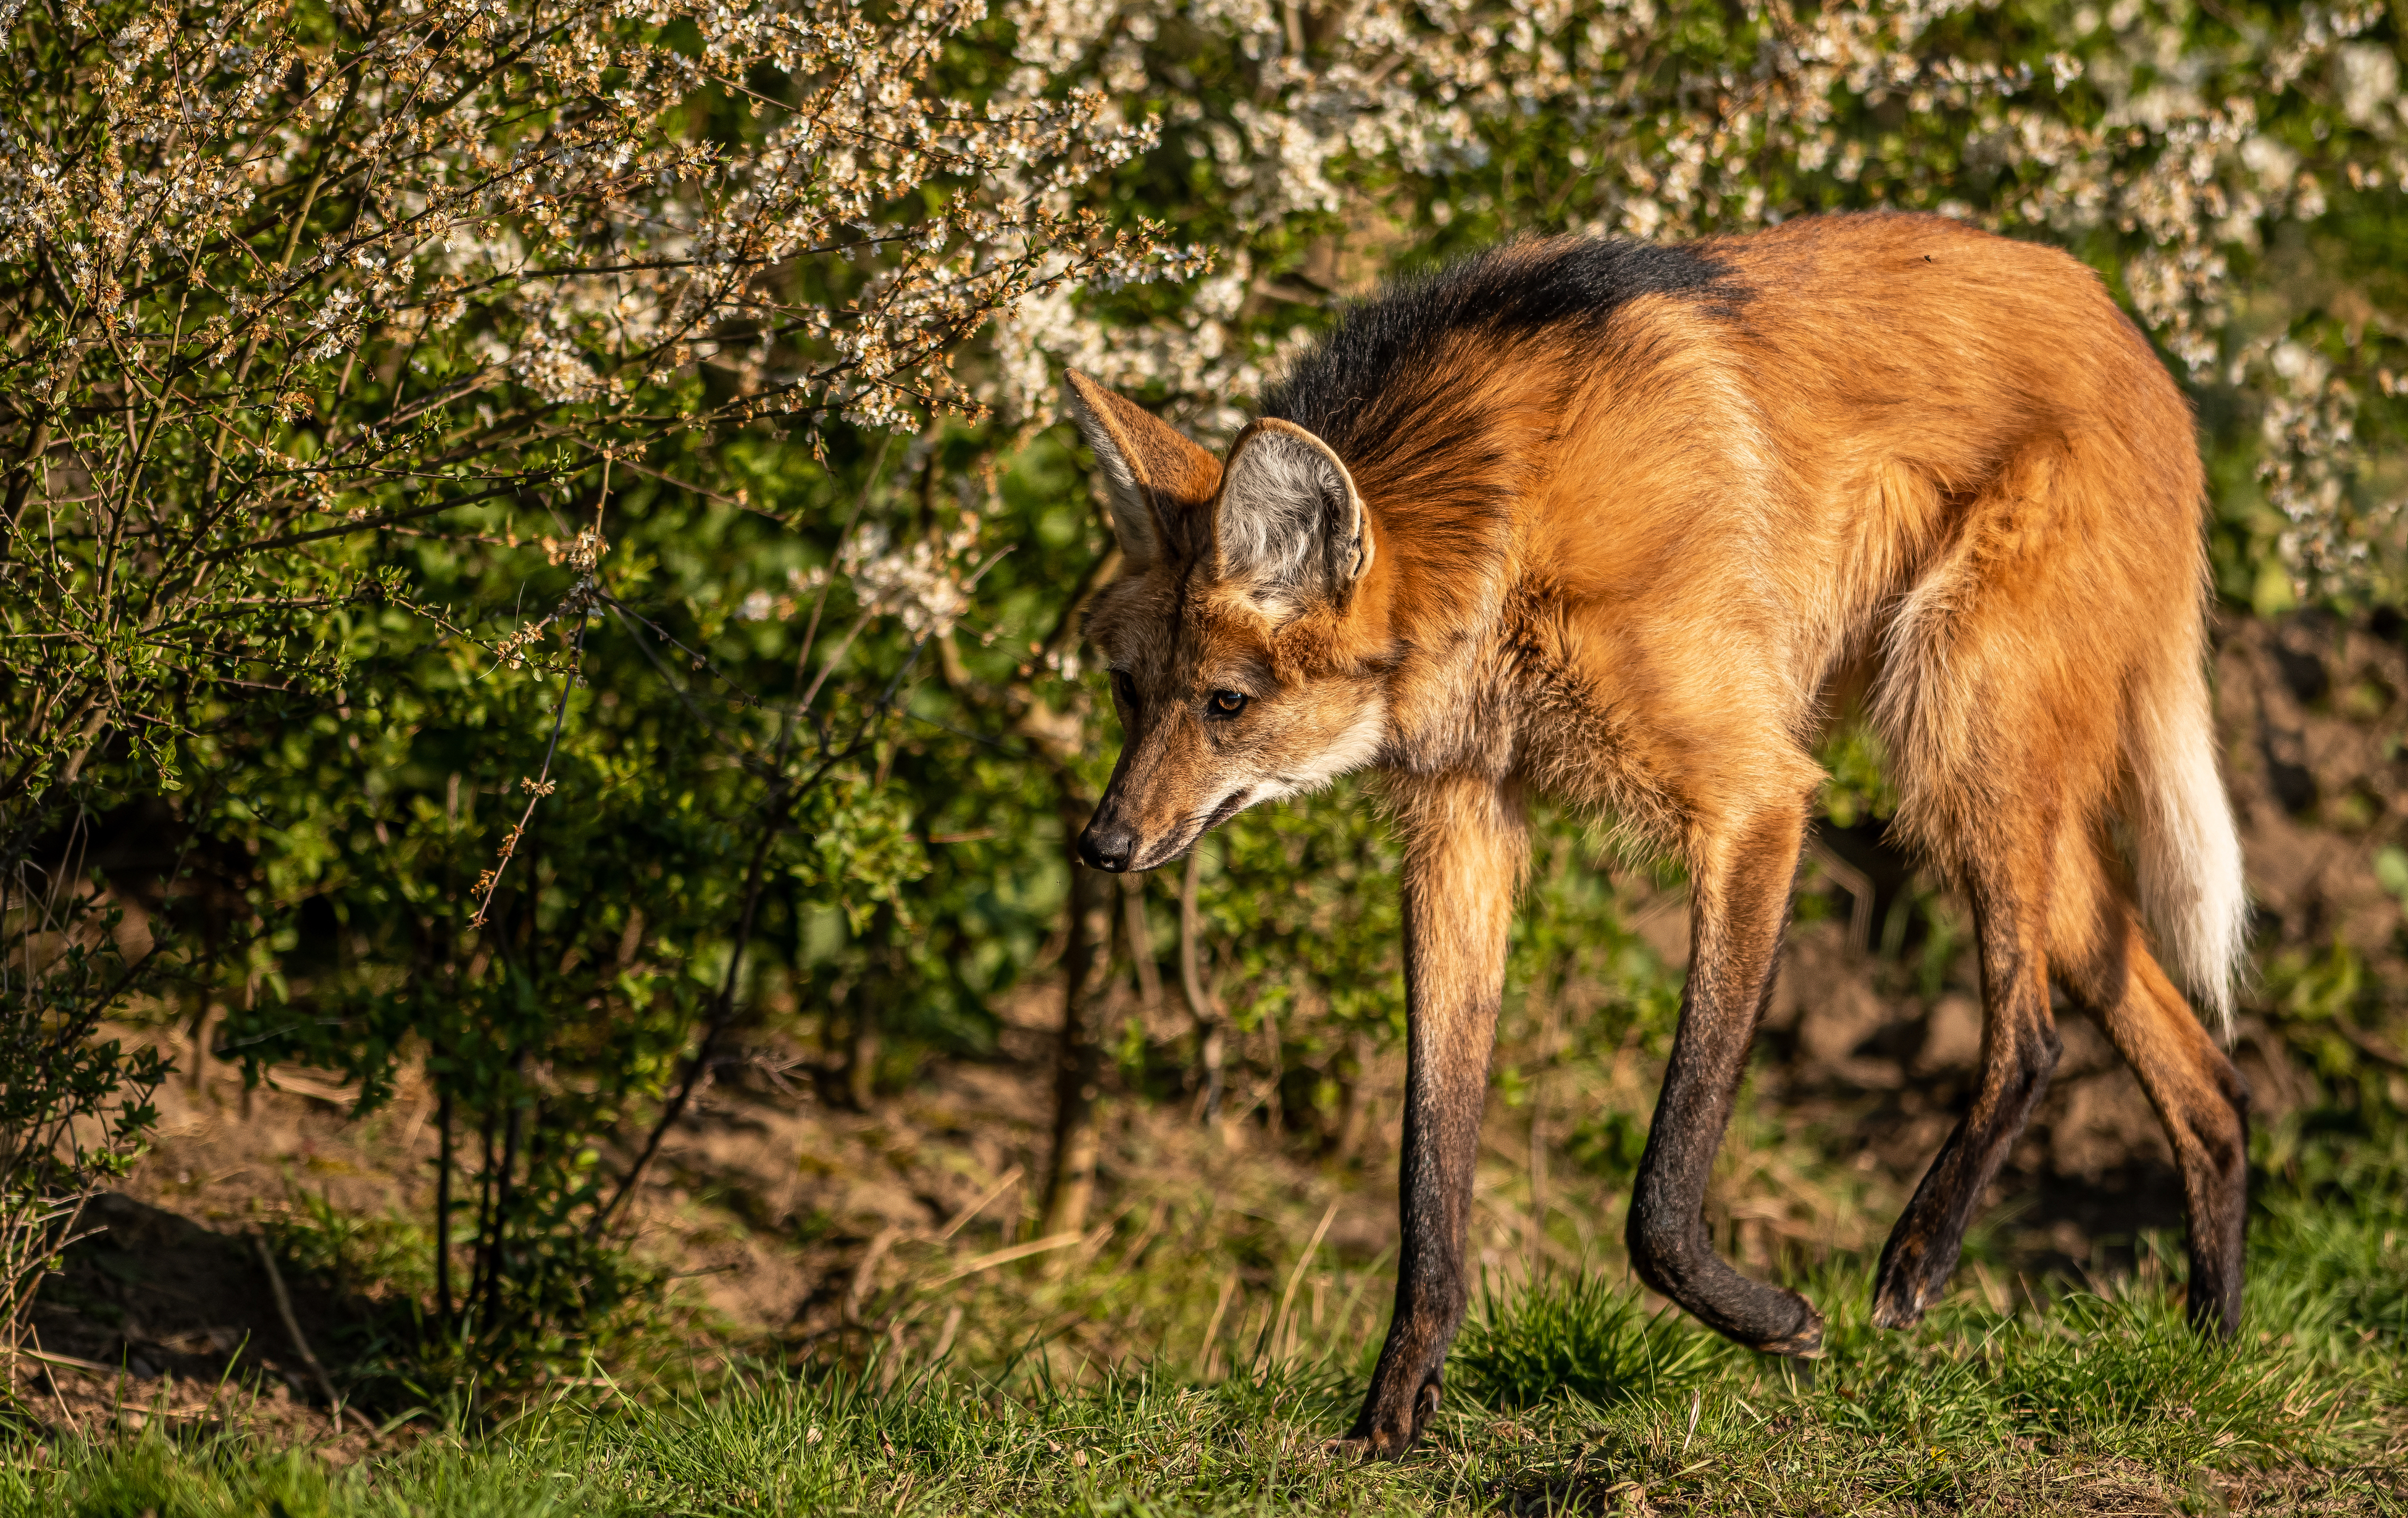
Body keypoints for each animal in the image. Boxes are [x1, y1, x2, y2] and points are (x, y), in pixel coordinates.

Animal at [1063, 211, 2250, 1456]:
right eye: (1129, 692)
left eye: (1226, 703)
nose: (1102, 844)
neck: (1506, 525)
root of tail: (2131, 332)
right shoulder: (1465, 819)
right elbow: (1429, 1157)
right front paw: (1394, 1407)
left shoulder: (1758, 798)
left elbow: (1662, 1181)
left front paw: (1777, 1320)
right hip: (1988, 772)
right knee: (2208, 1077)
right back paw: (2209, 1360)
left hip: (1955, 730)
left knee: (2033, 1034)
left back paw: (1921, 1261)